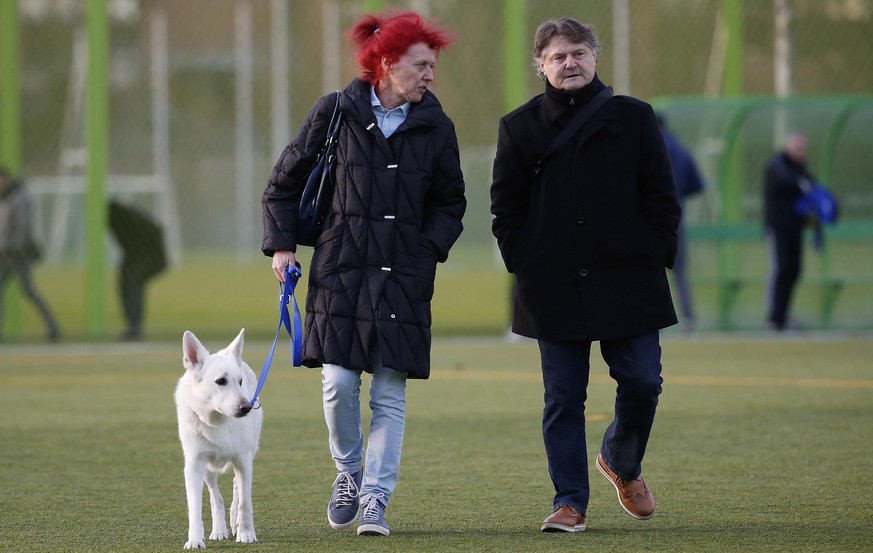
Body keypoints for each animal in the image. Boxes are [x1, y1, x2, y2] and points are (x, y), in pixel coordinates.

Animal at [174, 328, 262, 548]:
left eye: (240, 382)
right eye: (220, 381)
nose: (246, 407)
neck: (217, 421)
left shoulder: (243, 461)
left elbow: (245, 503)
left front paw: (246, 534)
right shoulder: (194, 465)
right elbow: (195, 508)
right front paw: (195, 540)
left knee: (237, 490)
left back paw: (235, 523)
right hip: (208, 469)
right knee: (216, 498)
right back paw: (220, 529)